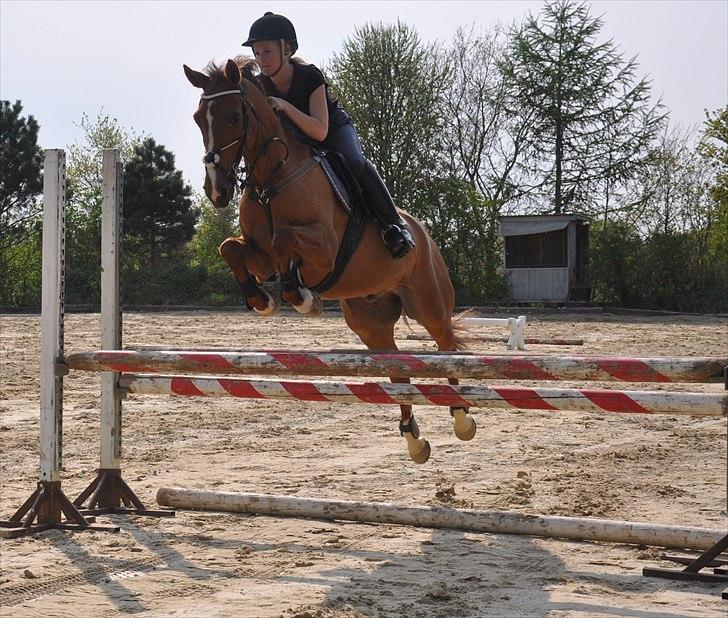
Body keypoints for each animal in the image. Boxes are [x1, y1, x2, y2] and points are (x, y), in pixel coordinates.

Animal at [183, 57, 475, 463]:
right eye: (198, 118)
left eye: (233, 117)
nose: (217, 191)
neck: (272, 179)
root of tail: (424, 234)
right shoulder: (260, 257)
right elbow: (231, 247)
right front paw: (263, 299)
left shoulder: (324, 248)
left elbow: (285, 239)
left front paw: (303, 298)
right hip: (370, 322)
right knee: (396, 367)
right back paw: (414, 439)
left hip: (428, 302)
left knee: (446, 344)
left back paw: (462, 418)